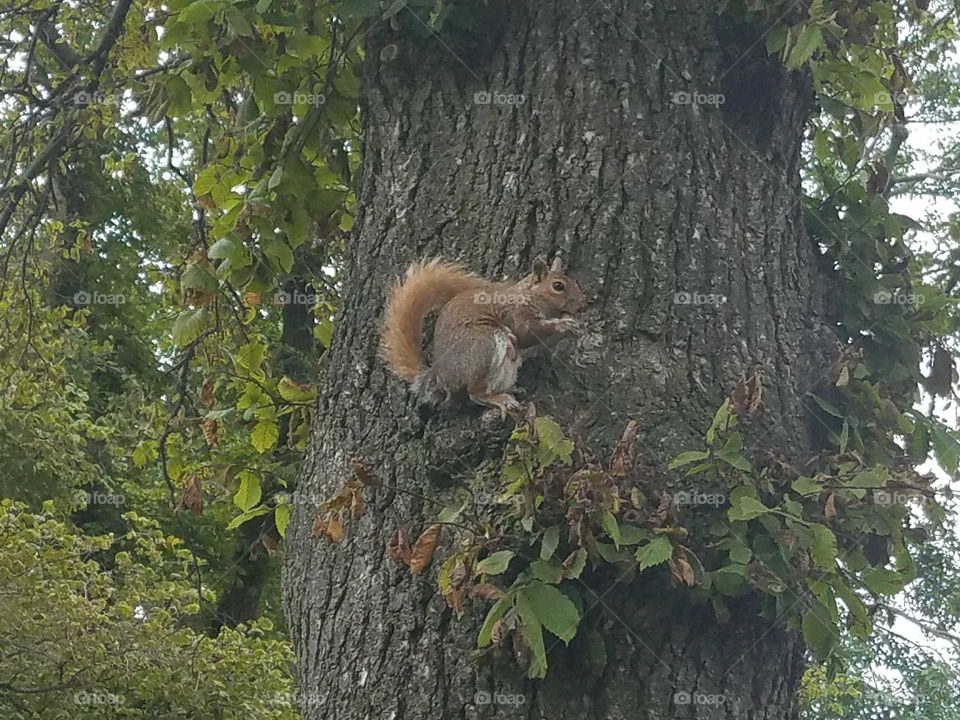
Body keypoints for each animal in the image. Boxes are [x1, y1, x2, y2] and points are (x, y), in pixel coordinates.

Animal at [381, 256, 586, 414]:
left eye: (576, 283)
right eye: (558, 286)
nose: (582, 306)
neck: (531, 295)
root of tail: (439, 375)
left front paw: (575, 327)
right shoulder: (515, 313)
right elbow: (526, 333)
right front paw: (562, 324)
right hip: (484, 344)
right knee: (475, 393)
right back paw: (501, 400)